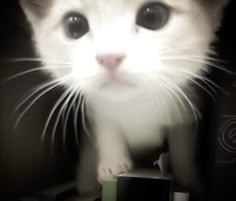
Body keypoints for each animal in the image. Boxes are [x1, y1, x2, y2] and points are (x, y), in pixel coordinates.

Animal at [20, 0, 229, 195]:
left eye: (153, 16)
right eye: (74, 26)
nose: (109, 57)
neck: (134, 102)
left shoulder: (188, 106)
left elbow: (182, 145)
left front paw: (188, 180)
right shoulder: (96, 110)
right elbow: (107, 128)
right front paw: (111, 163)